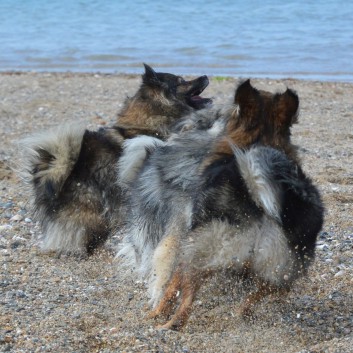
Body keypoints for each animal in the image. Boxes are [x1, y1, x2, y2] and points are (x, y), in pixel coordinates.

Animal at [117, 79, 324, 328]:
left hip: (198, 251)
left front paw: (157, 311)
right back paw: (243, 312)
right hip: (284, 269)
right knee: (267, 291)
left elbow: (169, 285)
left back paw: (168, 325)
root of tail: (258, 203)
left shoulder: (180, 238)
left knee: (185, 298)